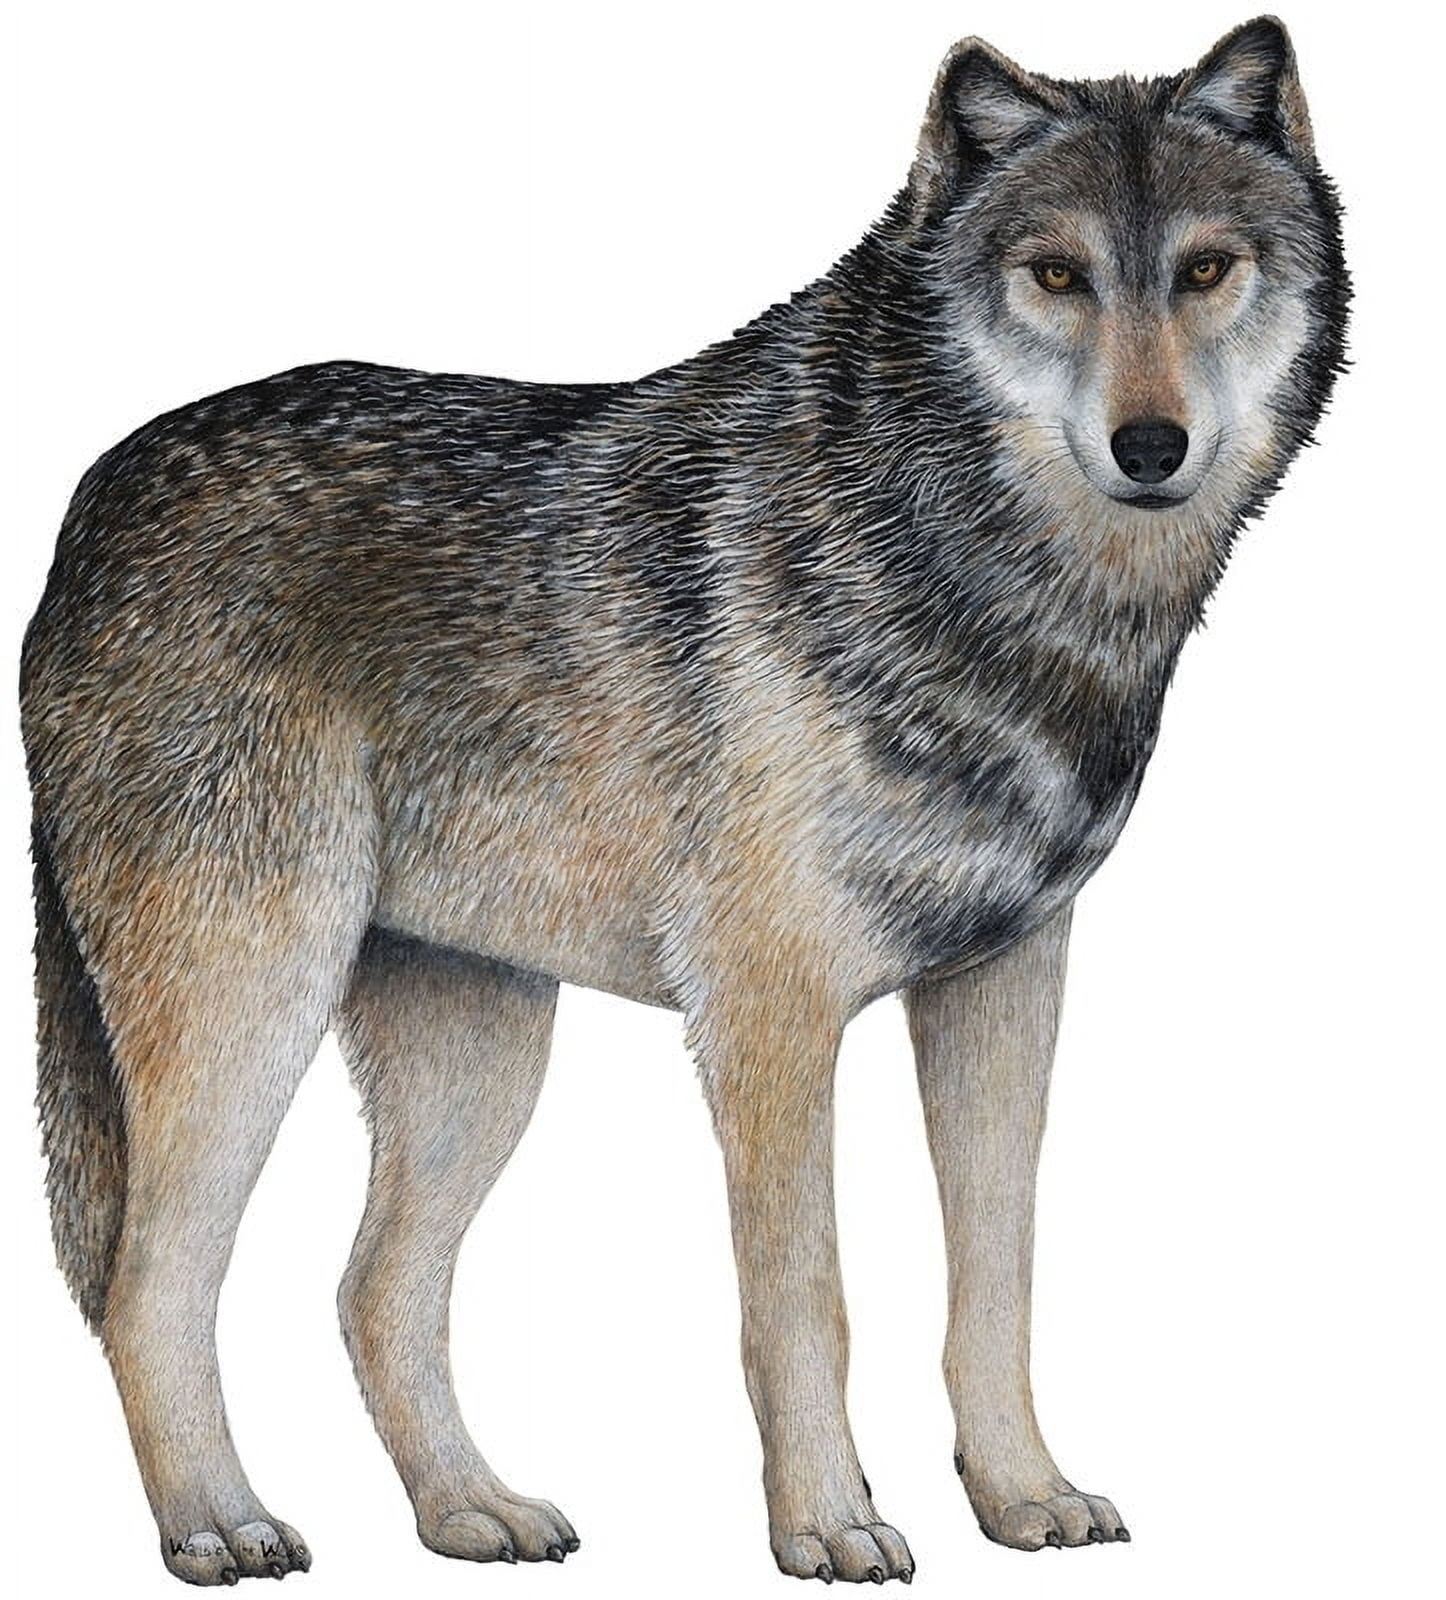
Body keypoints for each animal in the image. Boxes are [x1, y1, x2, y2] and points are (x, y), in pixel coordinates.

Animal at [21, 15, 1346, 1587]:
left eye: (1202, 269)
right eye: (1057, 274)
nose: (1151, 447)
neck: (977, 572)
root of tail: (87, 503)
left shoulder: (1005, 984)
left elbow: (997, 1279)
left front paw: (1025, 1496)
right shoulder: (770, 1014)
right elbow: (806, 1301)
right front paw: (831, 1525)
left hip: (479, 1057)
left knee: (372, 1288)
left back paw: (473, 1510)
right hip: (252, 1009)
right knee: (150, 1282)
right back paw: (220, 1526)